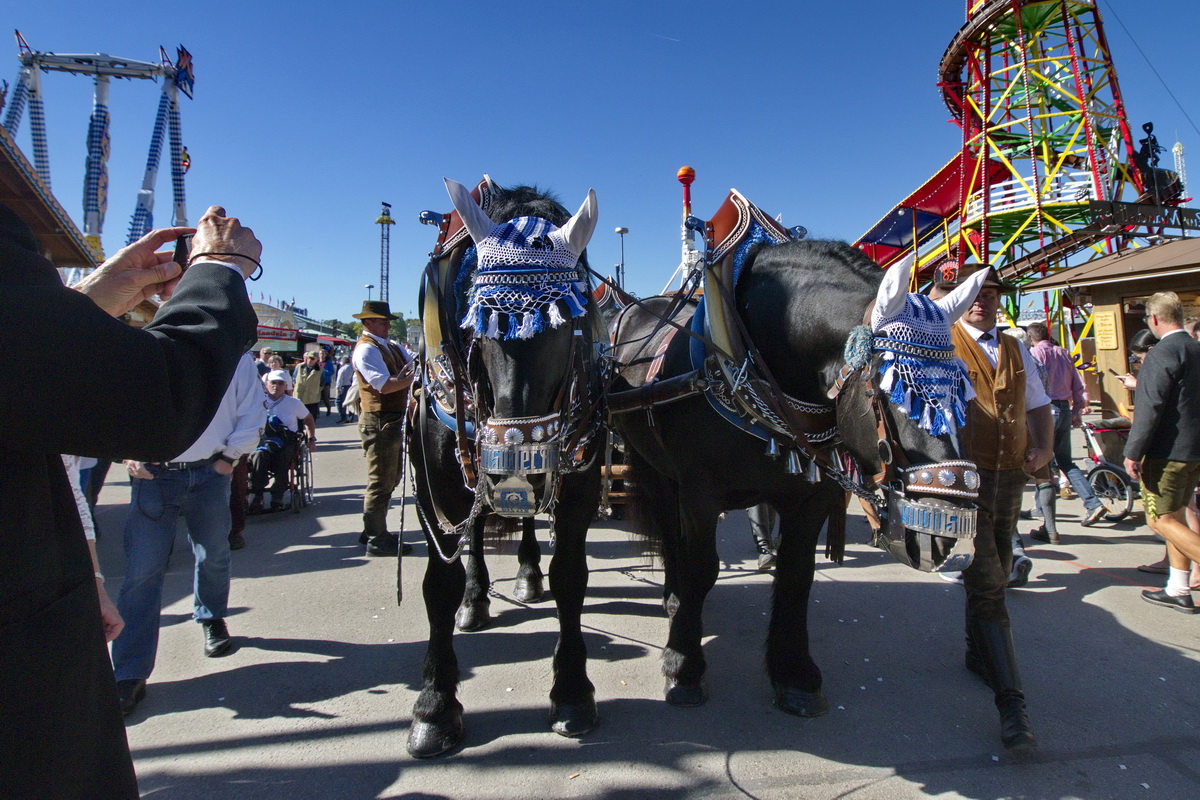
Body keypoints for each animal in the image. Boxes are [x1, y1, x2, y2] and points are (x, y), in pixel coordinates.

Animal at [405, 178, 609, 762]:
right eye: (479, 325)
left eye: (572, 323)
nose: (514, 471)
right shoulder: (435, 490)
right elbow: (439, 584)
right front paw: (435, 703)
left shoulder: (579, 489)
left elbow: (571, 577)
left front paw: (571, 690)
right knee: (473, 537)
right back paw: (476, 600)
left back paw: (526, 573)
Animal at [614, 235, 988, 714]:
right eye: (896, 390)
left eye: (964, 388)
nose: (949, 536)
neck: (746, 363)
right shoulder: (699, 493)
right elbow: (701, 568)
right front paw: (683, 665)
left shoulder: (810, 500)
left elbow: (796, 575)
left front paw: (793, 673)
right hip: (657, 473)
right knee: (669, 536)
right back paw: (675, 599)